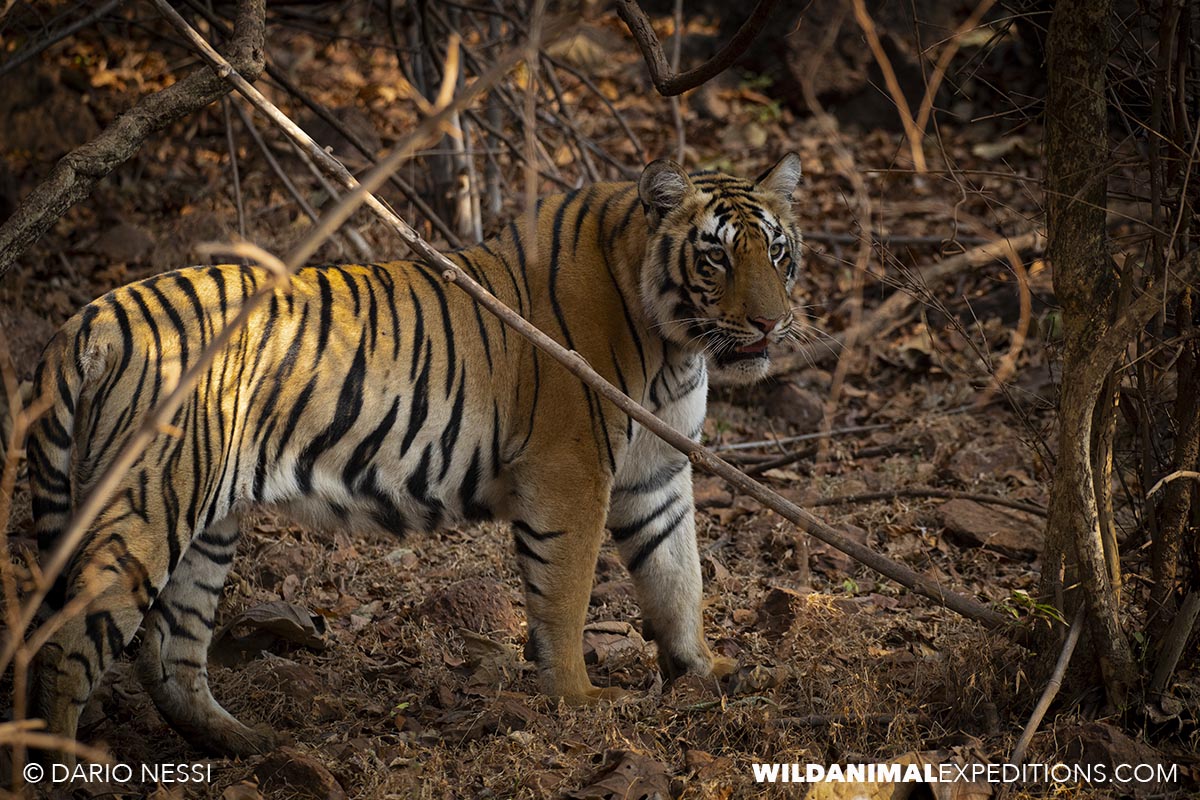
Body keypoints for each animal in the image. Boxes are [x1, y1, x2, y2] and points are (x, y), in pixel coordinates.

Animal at [25, 153, 804, 758]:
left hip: (206, 521)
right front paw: (580, 700)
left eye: (777, 252)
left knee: (171, 656)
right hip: (153, 502)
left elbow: (678, 578)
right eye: (715, 256)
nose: (771, 324)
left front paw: (704, 668)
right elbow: (568, 592)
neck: (675, 346)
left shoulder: (657, 475)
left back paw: (248, 745)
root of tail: (89, 320)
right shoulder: (571, 472)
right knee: (65, 648)